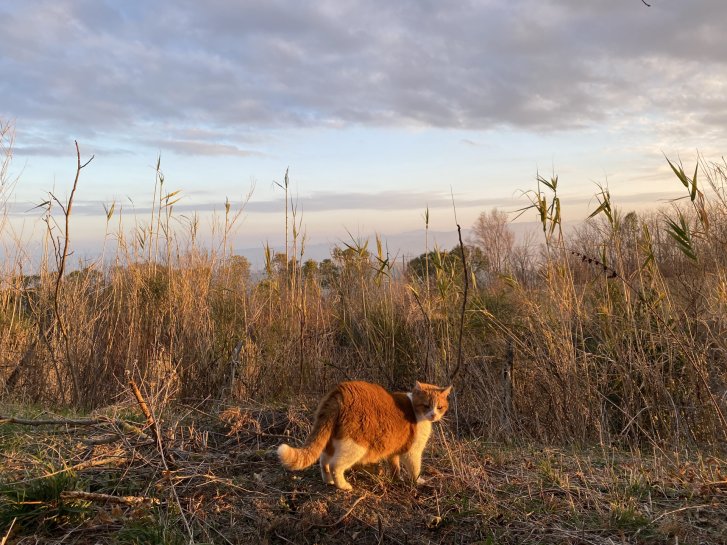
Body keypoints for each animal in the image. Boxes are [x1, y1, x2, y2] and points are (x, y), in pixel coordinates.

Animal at [278, 380, 450, 490]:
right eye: (426, 406)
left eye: (440, 407)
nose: (433, 415)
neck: (415, 412)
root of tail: (340, 391)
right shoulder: (412, 452)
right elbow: (415, 468)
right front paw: (418, 481)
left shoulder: (393, 450)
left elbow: (394, 467)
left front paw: (396, 479)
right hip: (355, 445)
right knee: (335, 464)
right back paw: (343, 486)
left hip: (331, 439)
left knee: (323, 459)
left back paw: (328, 481)